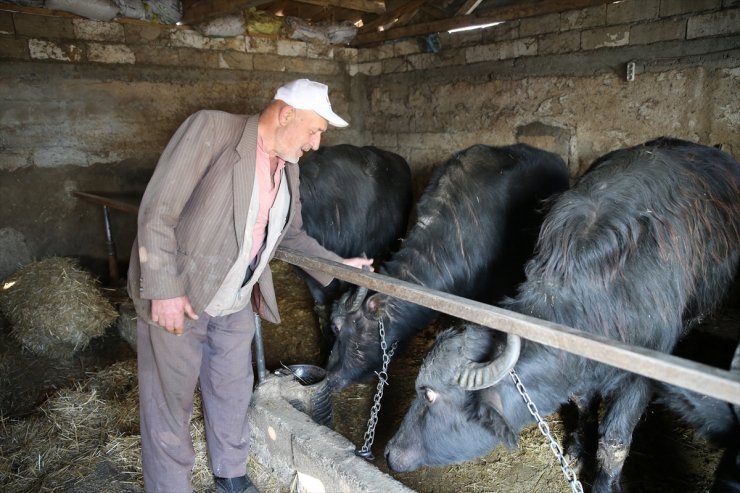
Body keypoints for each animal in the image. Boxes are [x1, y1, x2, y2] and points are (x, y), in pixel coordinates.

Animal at [384, 137, 740, 492]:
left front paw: (603, 484)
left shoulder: (640, 378)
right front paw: (577, 450)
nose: (389, 452)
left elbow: (614, 440)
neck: (596, 296)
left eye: (430, 395)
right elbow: (582, 405)